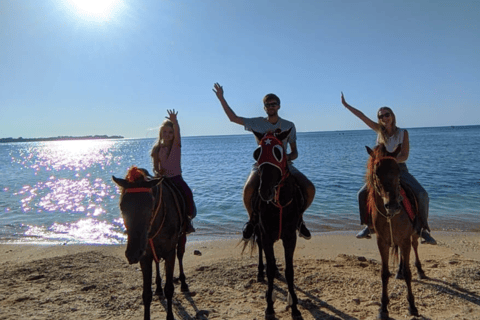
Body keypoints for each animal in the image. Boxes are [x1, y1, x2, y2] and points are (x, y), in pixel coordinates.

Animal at [112, 168, 189, 320]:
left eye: (150, 208)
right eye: (122, 207)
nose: (132, 253)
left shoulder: (170, 253)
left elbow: (169, 289)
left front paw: (170, 316)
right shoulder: (145, 256)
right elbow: (146, 294)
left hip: (182, 236)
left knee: (180, 255)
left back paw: (183, 282)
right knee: (157, 262)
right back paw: (158, 287)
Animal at [248, 130, 304, 320]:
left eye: (278, 152)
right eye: (257, 153)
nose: (265, 191)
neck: (278, 203)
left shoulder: (290, 238)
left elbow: (289, 271)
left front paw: (294, 307)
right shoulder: (266, 236)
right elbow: (271, 269)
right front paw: (269, 308)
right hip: (258, 230)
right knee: (260, 249)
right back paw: (260, 272)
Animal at [366, 146, 422, 320]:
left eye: (398, 171)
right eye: (376, 172)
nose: (393, 205)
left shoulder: (405, 240)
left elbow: (409, 273)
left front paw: (412, 306)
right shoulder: (382, 242)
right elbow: (384, 274)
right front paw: (383, 308)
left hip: (413, 236)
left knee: (415, 247)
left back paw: (420, 270)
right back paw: (398, 271)